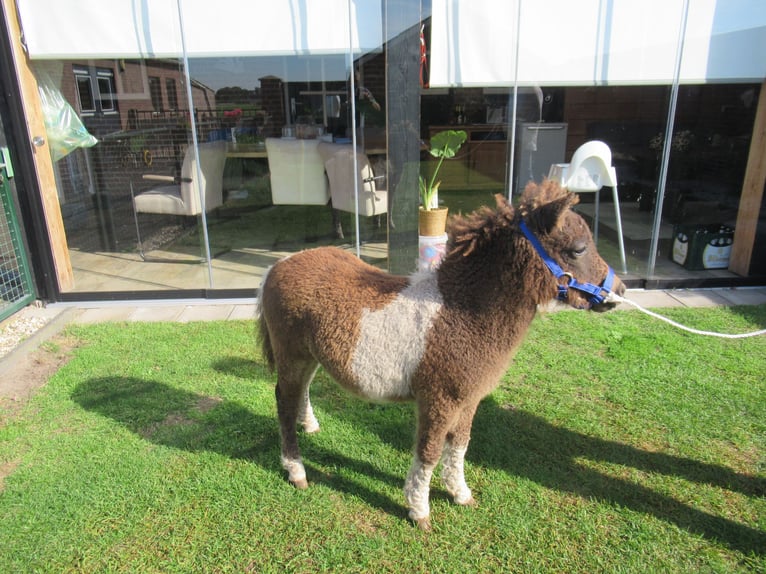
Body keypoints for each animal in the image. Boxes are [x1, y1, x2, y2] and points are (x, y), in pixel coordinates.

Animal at [257, 179, 625, 531]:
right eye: (578, 249)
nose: (619, 291)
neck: (463, 310)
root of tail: (279, 265)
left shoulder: (469, 399)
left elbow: (460, 445)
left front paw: (460, 493)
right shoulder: (439, 400)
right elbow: (430, 453)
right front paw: (419, 510)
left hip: (310, 356)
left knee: (302, 391)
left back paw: (311, 425)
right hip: (291, 355)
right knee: (284, 402)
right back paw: (296, 470)